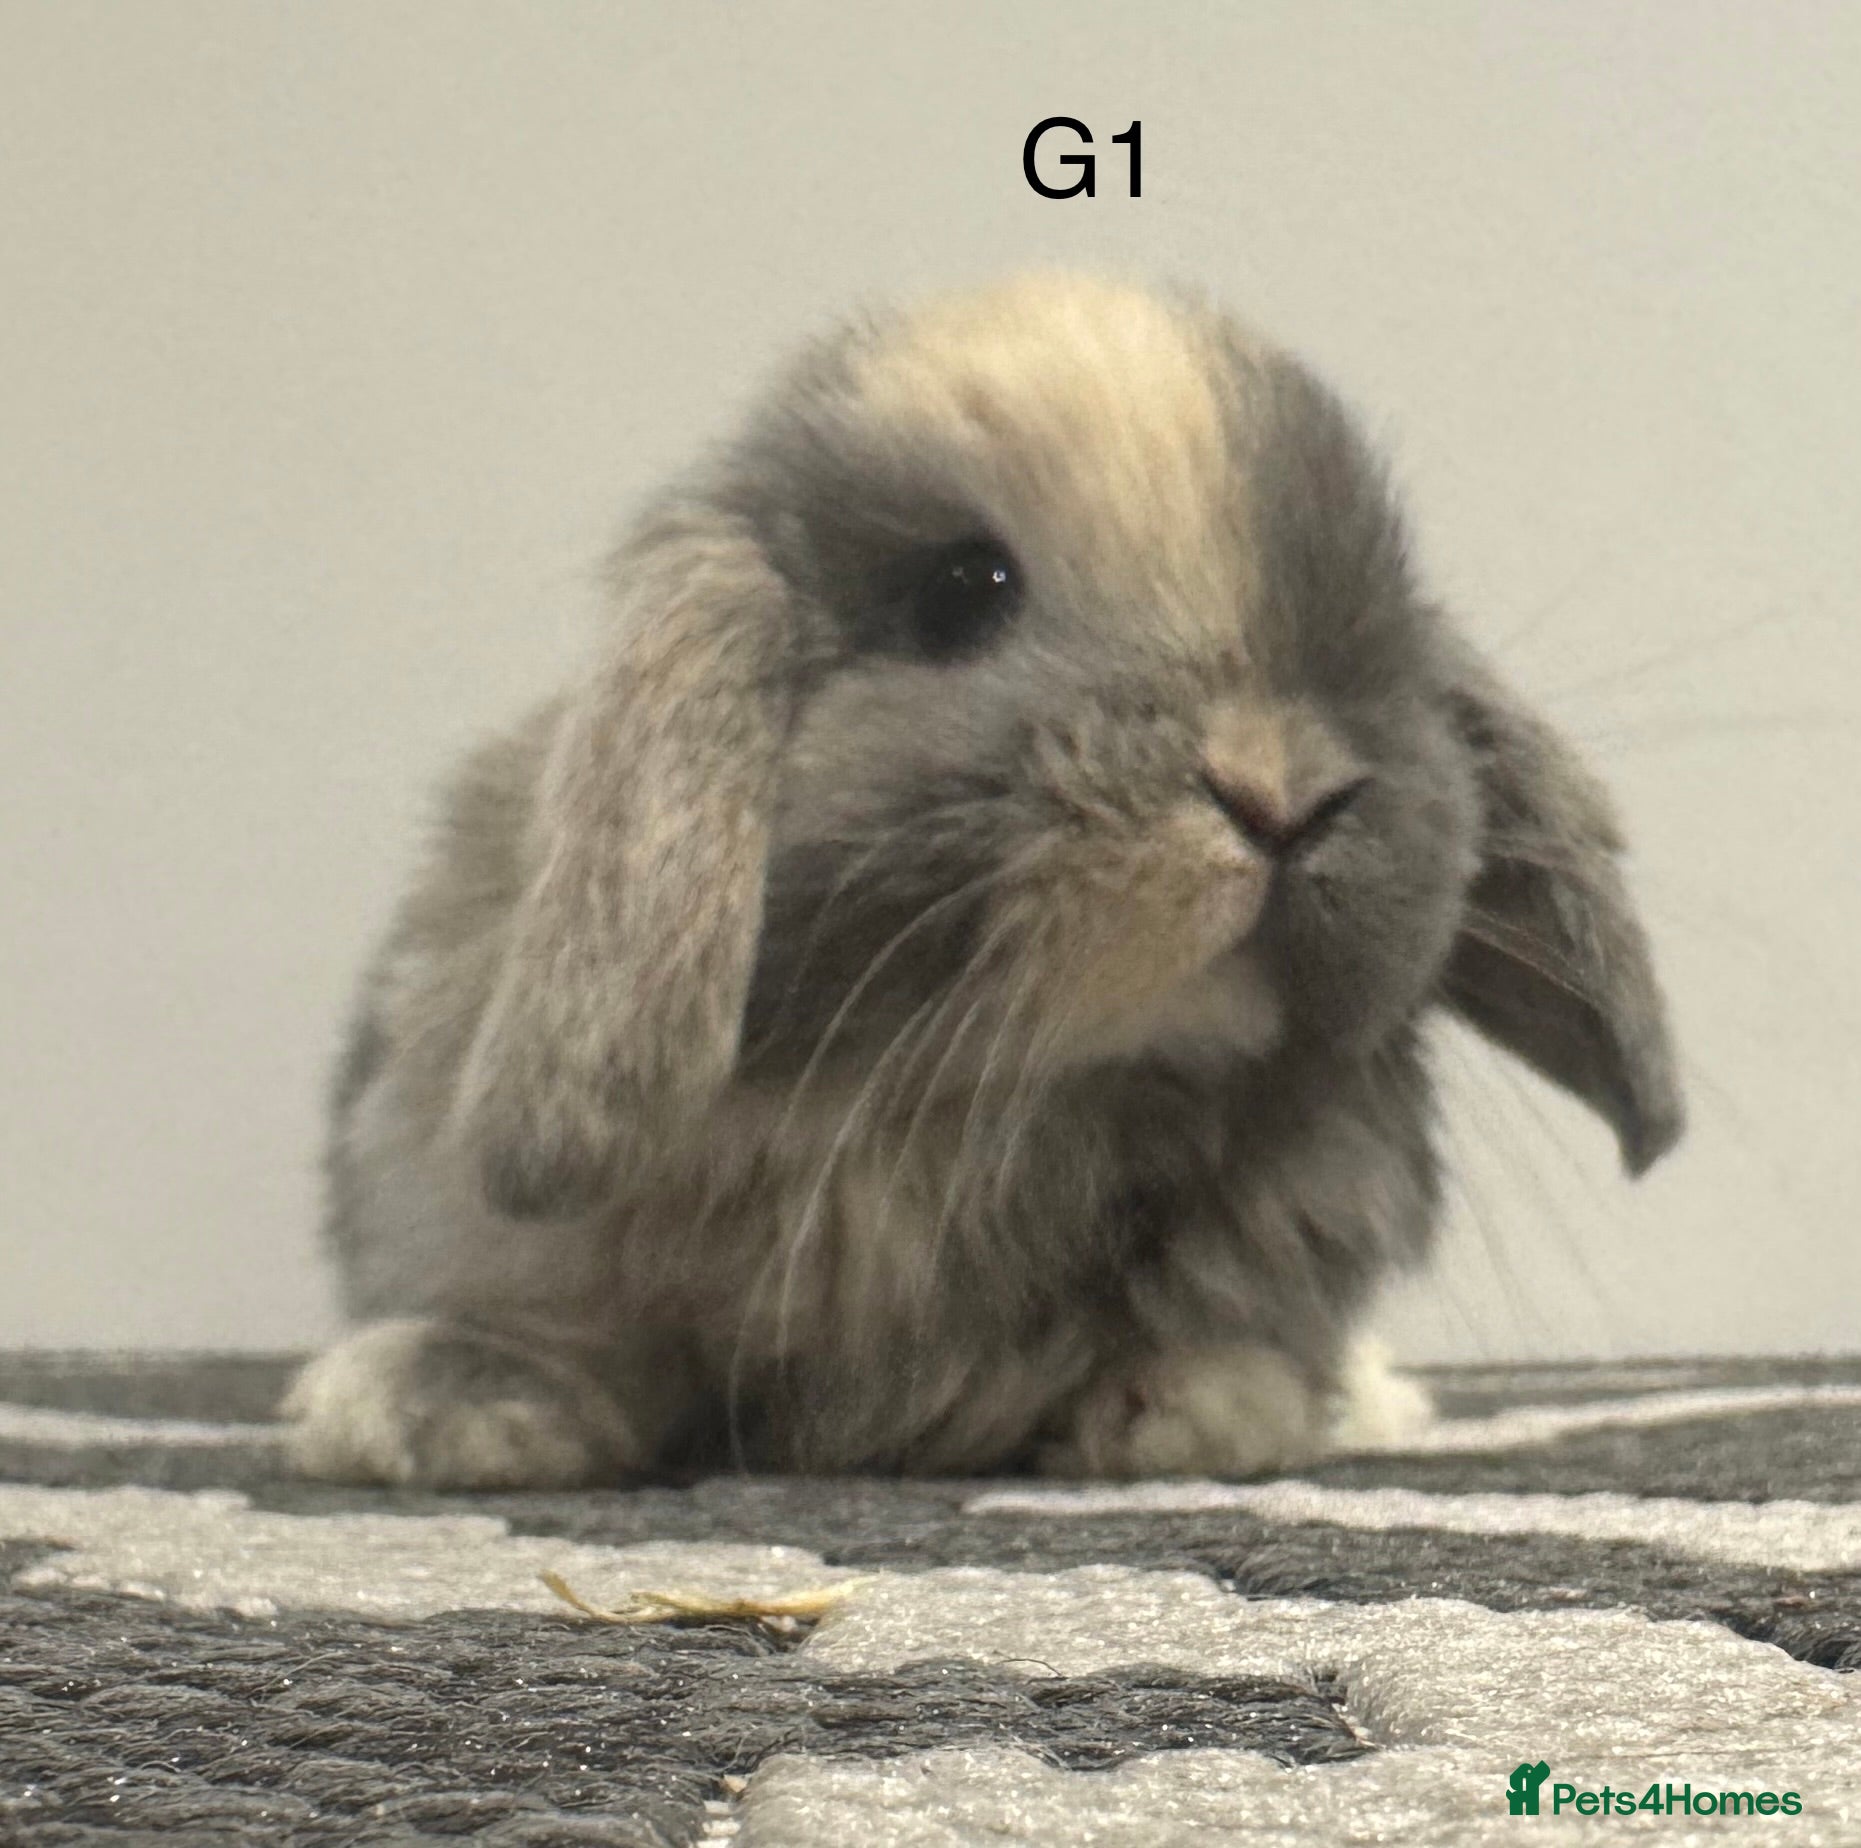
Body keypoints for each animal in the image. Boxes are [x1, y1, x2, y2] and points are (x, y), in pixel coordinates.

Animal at [284, 273, 1683, 1489]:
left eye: (1381, 610)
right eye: (960, 591)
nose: (1284, 792)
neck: (975, 1097)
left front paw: (1203, 1407)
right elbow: (562, 1322)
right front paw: (453, 1407)